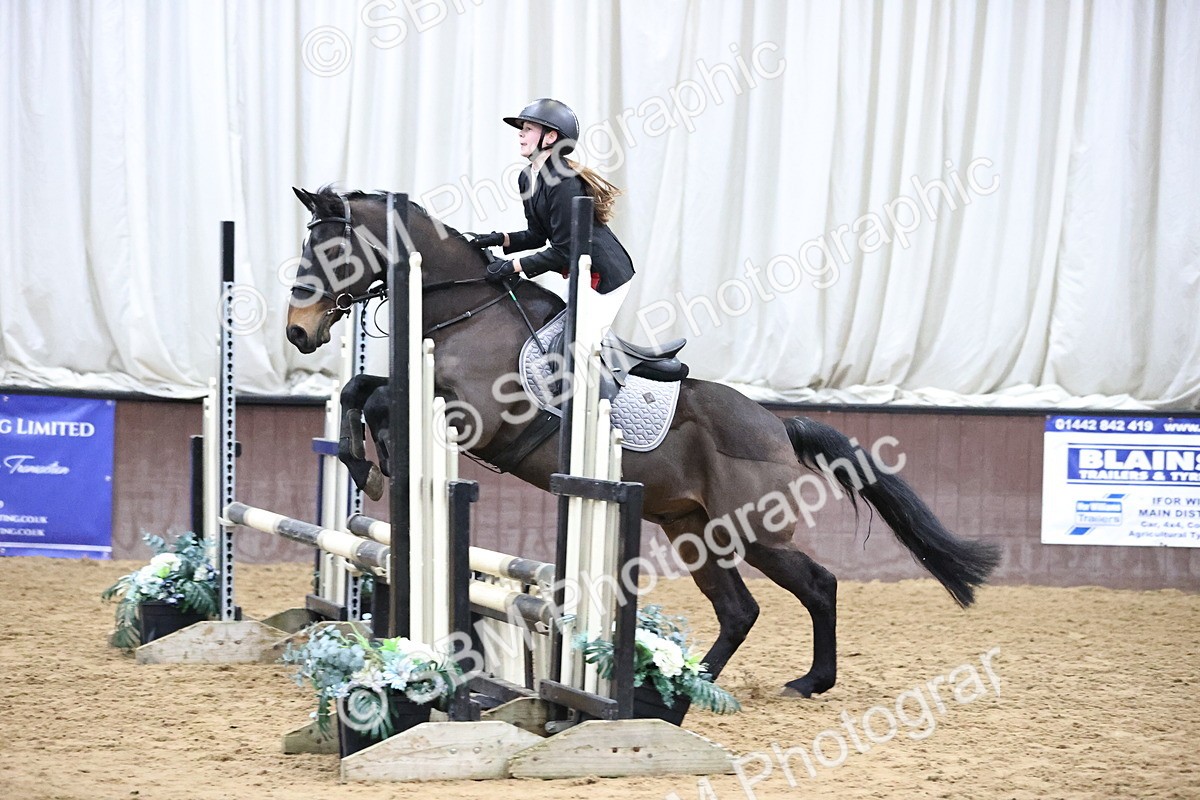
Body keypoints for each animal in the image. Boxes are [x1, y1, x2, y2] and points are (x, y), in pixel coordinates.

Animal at [285, 186, 1001, 698]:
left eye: (331, 254)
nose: (297, 331)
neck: (465, 309)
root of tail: (778, 426)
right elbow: (359, 390)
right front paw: (364, 465)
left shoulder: (479, 415)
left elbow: (380, 401)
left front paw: (381, 467)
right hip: (693, 530)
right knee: (738, 609)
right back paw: (692, 683)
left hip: (758, 530)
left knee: (818, 584)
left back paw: (809, 682)